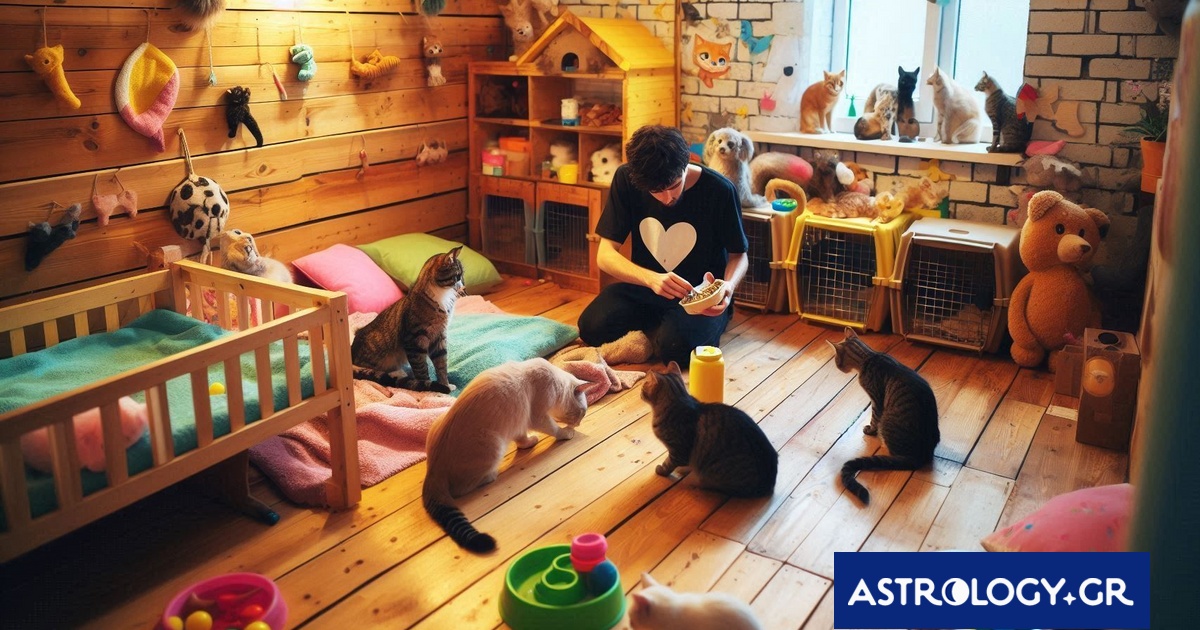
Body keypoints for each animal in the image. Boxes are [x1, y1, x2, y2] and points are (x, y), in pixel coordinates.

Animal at [350, 247, 464, 393]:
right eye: (458, 276)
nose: (463, 286)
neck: (442, 296)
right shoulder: (414, 340)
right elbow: (421, 369)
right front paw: (428, 388)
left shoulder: (439, 337)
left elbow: (441, 365)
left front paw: (445, 385)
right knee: (371, 371)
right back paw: (397, 373)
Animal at [423, 358, 589, 552]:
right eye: (583, 412)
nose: (580, 424)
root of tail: (432, 469)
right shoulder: (538, 417)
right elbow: (555, 429)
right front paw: (566, 433)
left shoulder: (518, 424)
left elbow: (522, 439)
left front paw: (530, 442)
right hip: (494, 445)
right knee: (462, 488)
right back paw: (491, 475)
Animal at [641, 362, 777, 498]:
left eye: (643, 386)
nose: (640, 392)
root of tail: (769, 484)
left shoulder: (678, 451)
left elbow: (668, 464)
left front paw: (661, 470)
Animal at [829, 328, 941, 505]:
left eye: (835, 360)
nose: (836, 366)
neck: (867, 357)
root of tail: (921, 455)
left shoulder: (876, 400)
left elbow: (874, 418)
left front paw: (869, 430)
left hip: (888, 422)